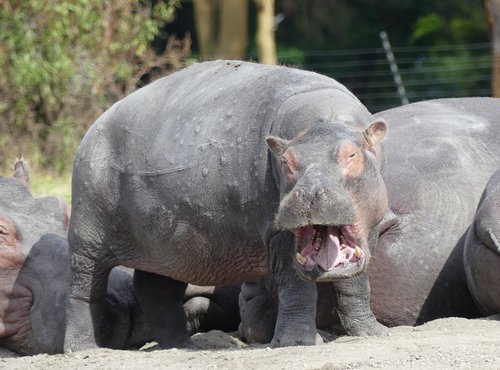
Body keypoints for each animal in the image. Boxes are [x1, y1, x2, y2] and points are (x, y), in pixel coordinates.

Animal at [63, 59, 390, 352]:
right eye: (286, 161)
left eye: (351, 155)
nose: (308, 194)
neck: (321, 124)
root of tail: (93, 128)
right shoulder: (278, 235)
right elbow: (295, 287)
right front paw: (300, 342)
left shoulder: (370, 228)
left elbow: (357, 285)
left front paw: (372, 332)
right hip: (87, 234)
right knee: (85, 289)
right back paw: (85, 350)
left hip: (167, 246)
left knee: (155, 290)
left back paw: (183, 346)